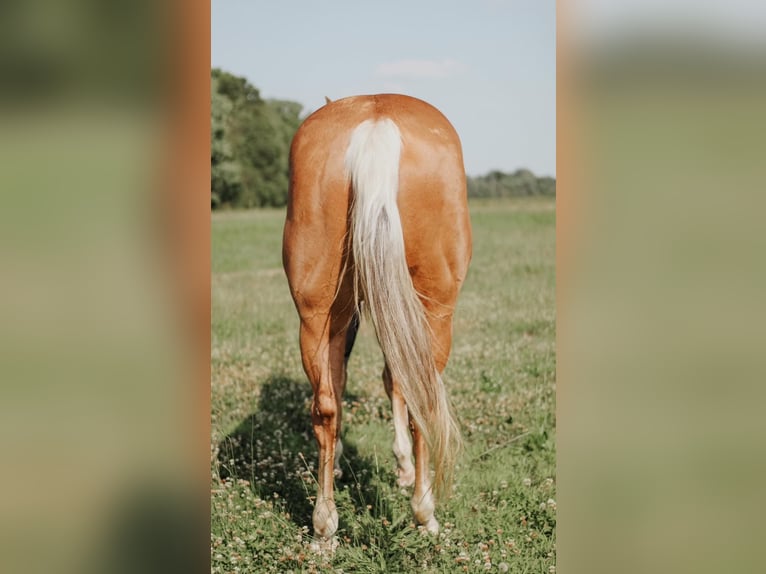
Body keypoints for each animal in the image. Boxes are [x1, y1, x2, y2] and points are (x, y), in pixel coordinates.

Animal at [282, 94, 472, 541]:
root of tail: (376, 124)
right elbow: (396, 380)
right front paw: (403, 468)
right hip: (436, 310)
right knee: (423, 398)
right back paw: (424, 512)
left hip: (315, 315)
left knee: (325, 408)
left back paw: (324, 527)